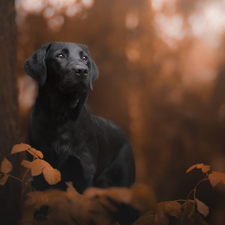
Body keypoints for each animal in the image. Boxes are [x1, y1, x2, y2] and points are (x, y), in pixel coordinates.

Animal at [24, 42, 135, 193]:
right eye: (60, 56)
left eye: (84, 58)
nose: (82, 70)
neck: (61, 116)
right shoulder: (39, 169)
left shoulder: (84, 172)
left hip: (123, 182)